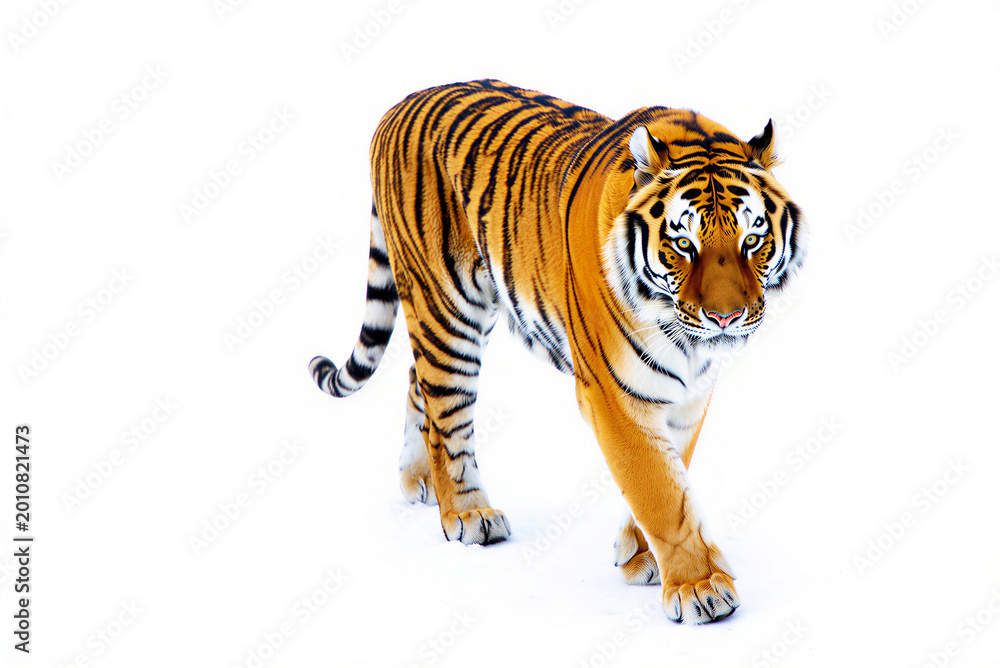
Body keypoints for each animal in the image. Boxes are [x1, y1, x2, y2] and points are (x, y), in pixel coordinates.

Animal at [309, 79, 804, 624]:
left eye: (752, 240)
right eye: (683, 245)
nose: (725, 318)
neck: (685, 339)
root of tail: (399, 104)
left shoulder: (691, 395)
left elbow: (674, 472)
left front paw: (637, 553)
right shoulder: (613, 394)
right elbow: (658, 488)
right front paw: (699, 588)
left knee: (417, 384)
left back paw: (416, 481)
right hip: (447, 309)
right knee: (446, 415)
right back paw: (467, 514)